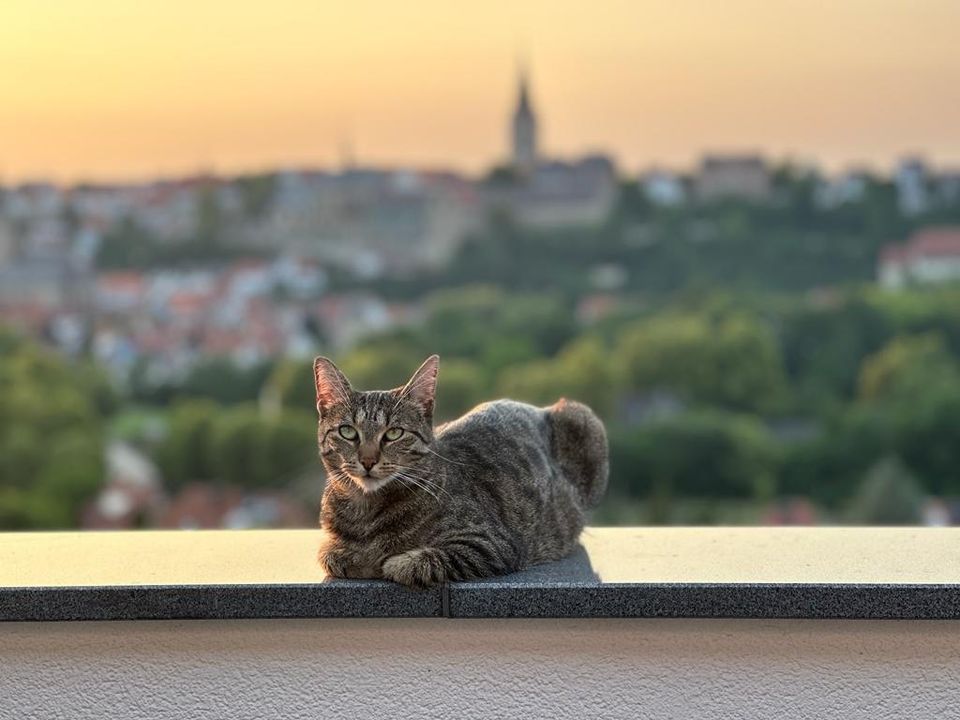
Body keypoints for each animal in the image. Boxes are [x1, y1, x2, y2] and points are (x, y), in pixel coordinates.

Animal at [318, 352, 612, 584]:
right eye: (347, 432)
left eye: (393, 433)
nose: (368, 460)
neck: (365, 510)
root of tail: (540, 407)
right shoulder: (330, 547)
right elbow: (331, 554)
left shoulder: (489, 544)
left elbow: (410, 563)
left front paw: (384, 560)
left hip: (583, 420)